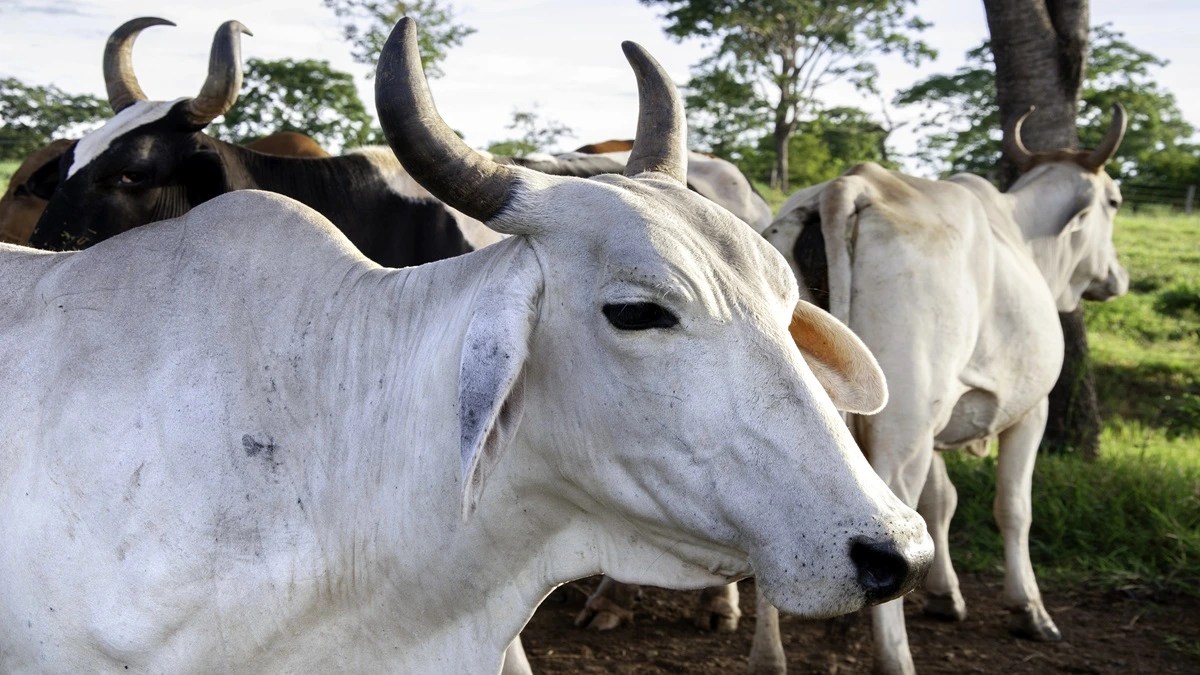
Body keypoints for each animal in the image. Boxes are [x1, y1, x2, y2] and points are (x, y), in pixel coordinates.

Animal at [750, 105, 1129, 675]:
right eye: (1114, 201)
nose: (1118, 277)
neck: (1027, 238)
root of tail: (850, 185)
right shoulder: (1030, 411)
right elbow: (1013, 507)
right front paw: (1030, 609)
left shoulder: (940, 424)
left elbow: (942, 502)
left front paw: (946, 595)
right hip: (904, 428)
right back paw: (896, 658)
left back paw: (768, 656)